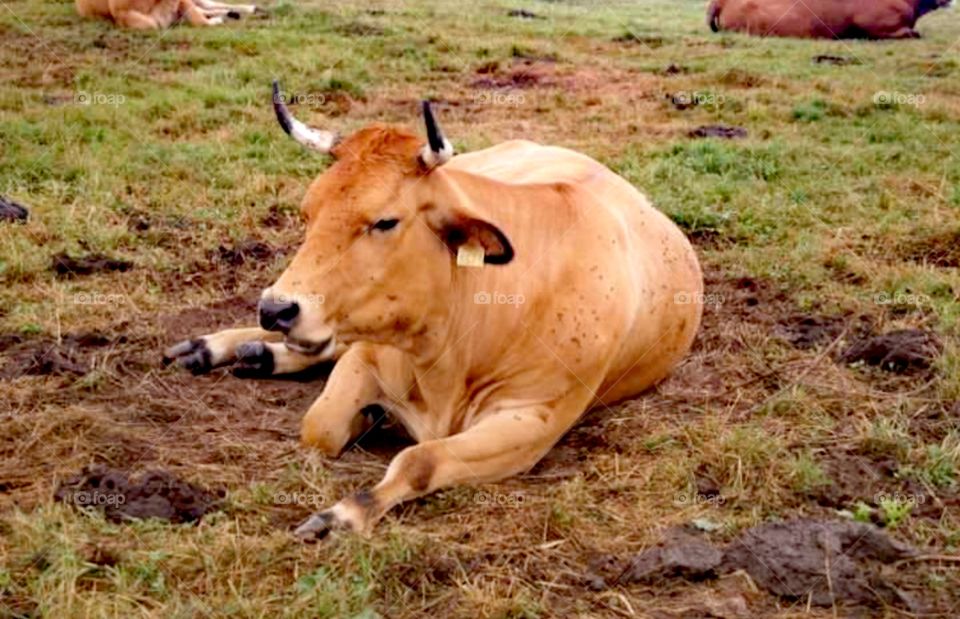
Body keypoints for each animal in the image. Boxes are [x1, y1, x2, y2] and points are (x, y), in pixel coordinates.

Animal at [164, 82, 704, 539]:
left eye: (385, 221)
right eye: (309, 210)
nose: (275, 309)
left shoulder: (531, 422)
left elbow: (419, 461)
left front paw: (345, 512)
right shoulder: (368, 355)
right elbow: (320, 426)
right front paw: (364, 417)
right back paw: (223, 347)